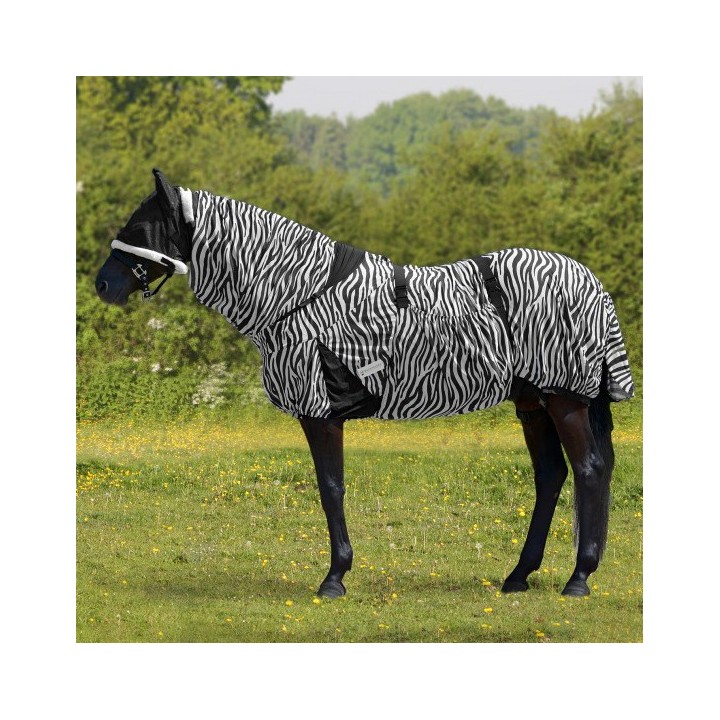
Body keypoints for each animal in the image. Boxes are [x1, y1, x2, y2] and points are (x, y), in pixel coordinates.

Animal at [95, 169, 634, 599]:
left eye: (139, 228)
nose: (103, 284)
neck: (296, 294)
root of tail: (590, 282)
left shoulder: (320, 412)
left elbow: (330, 487)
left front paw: (334, 578)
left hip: (564, 399)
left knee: (588, 470)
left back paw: (578, 579)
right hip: (533, 402)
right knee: (551, 476)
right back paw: (519, 576)